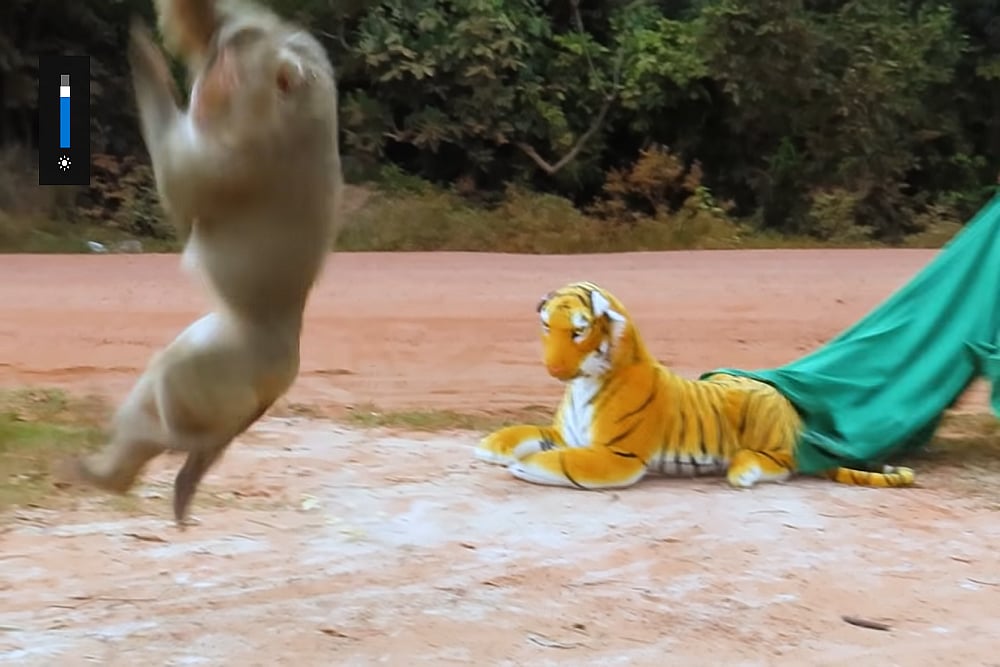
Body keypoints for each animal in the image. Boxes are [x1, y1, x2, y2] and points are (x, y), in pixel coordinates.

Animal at [473, 280, 916, 491]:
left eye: (579, 331)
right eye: (547, 326)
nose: (552, 368)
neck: (584, 383)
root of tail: (791, 412)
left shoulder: (617, 455)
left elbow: (559, 462)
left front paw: (523, 464)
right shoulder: (566, 433)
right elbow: (525, 430)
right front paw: (490, 446)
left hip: (768, 436)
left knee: (783, 465)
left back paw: (742, 471)